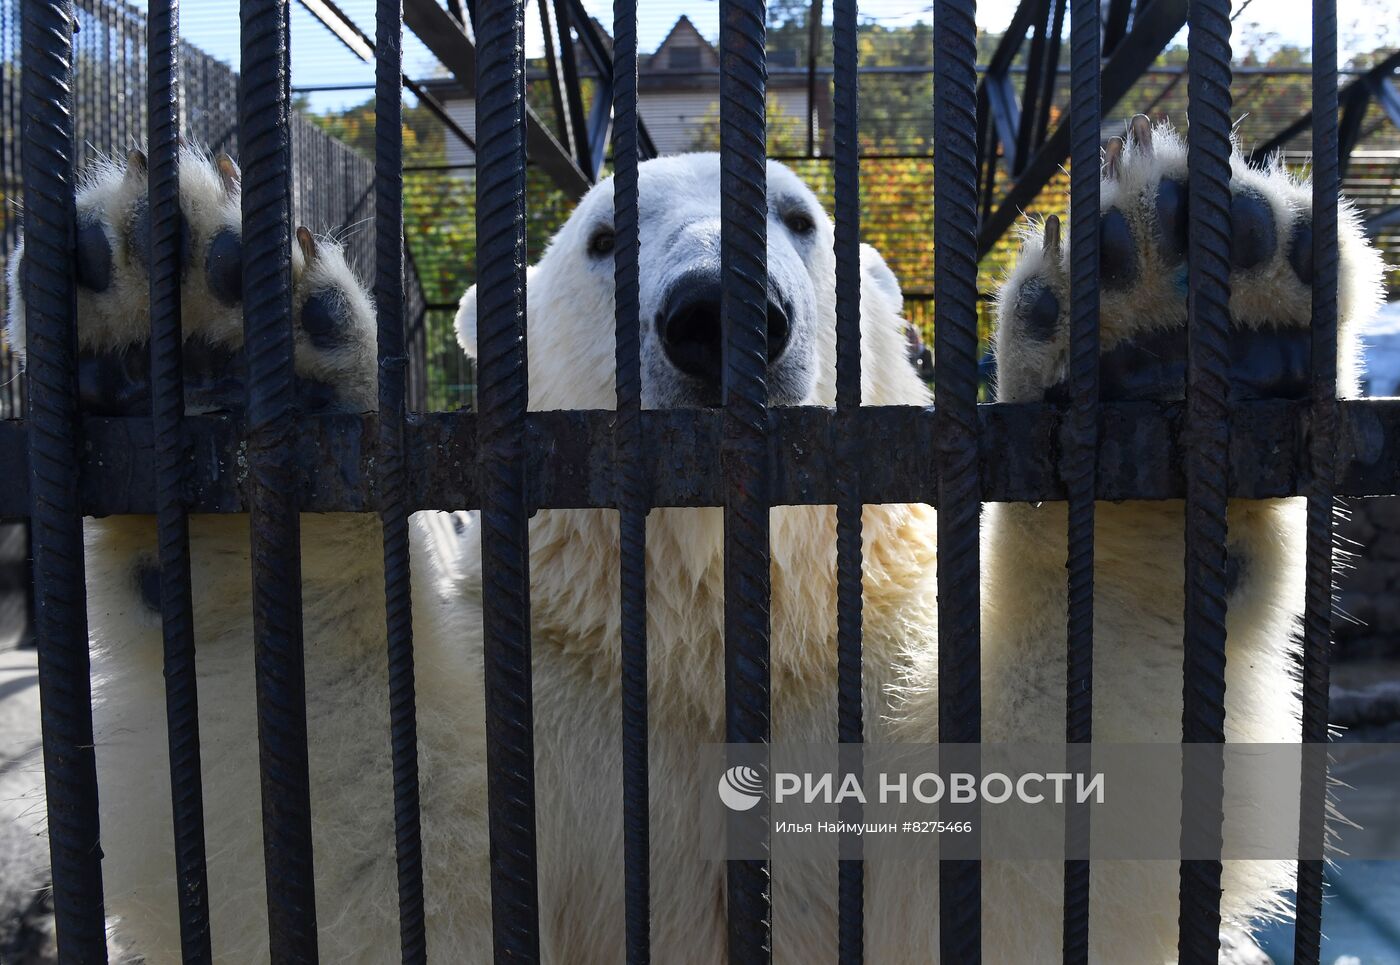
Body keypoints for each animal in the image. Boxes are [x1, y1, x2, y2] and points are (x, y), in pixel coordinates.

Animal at [5, 122, 1383, 963]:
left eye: (795, 213)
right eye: (604, 235)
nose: (719, 316)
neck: (694, 640)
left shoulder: (845, 697)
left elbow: (1038, 859)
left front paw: (1164, 320)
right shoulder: (550, 708)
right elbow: (355, 871)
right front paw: (193, 341)